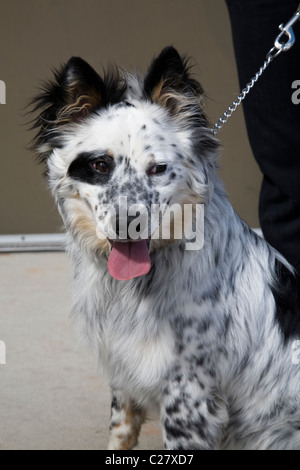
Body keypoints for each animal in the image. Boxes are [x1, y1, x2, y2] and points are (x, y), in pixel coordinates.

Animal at [30, 46, 300, 448]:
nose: (128, 223)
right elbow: (120, 429)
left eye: (158, 168)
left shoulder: (188, 394)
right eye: (100, 165)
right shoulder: (125, 369)